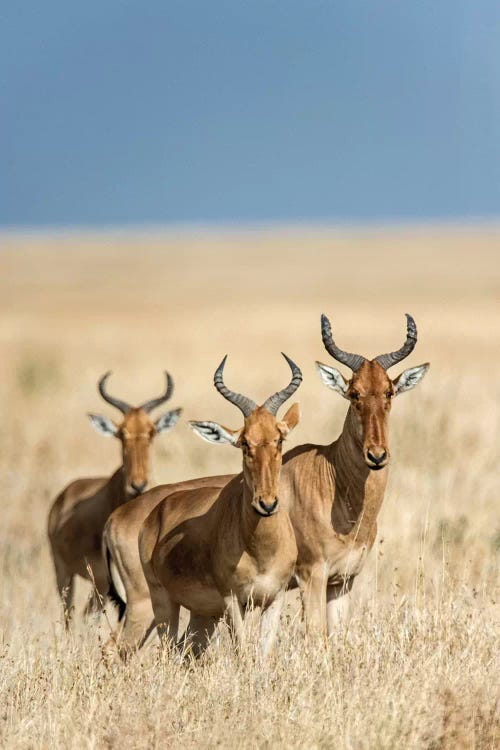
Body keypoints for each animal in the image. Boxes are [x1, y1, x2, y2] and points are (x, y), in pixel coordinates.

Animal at [47, 370, 182, 624]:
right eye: (121, 433)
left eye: (151, 431)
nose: (138, 484)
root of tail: (64, 495)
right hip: (66, 574)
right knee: (70, 614)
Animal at [138, 356, 300, 660]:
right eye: (244, 442)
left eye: (279, 439)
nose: (266, 503)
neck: (261, 549)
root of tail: (157, 512)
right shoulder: (233, 600)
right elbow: (242, 652)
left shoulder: (275, 598)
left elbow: (263, 655)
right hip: (163, 601)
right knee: (167, 649)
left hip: (204, 614)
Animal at [282, 314, 430, 636]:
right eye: (354, 393)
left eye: (389, 391)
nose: (376, 455)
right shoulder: (312, 575)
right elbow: (316, 633)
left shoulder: (343, 581)